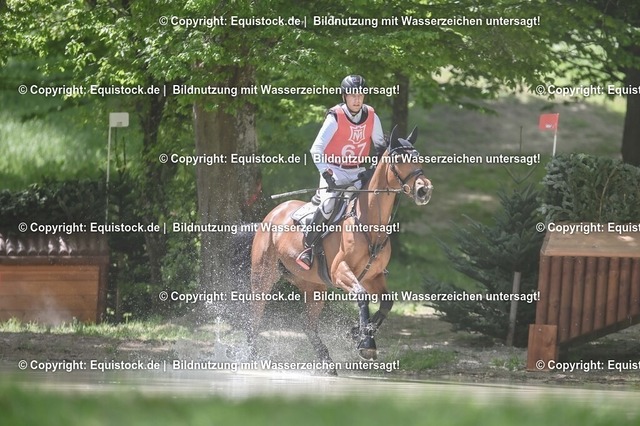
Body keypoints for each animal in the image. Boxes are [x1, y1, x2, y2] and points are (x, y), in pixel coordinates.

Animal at [248, 126, 433, 374]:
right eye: (399, 159)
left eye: (419, 157)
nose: (424, 190)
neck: (370, 222)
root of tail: (274, 211)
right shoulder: (340, 272)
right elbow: (362, 297)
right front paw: (366, 343)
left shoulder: (373, 276)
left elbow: (387, 303)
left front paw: (358, 332)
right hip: (264, 276)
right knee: (255, 316)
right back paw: (249, 357)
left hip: (313, 286)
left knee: (308, 326)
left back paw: (327, 362)